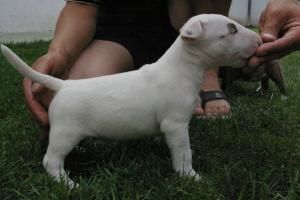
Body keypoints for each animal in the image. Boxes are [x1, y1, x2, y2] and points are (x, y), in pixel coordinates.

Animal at [1, 14, 262, 188]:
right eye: (231, 29)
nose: (260, 40)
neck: (181, 68)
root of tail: (63, 85)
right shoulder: (175, 125)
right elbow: (183, 153)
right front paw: (190, 176)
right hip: (66, 132)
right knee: (51, 160)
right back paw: (67, 183)